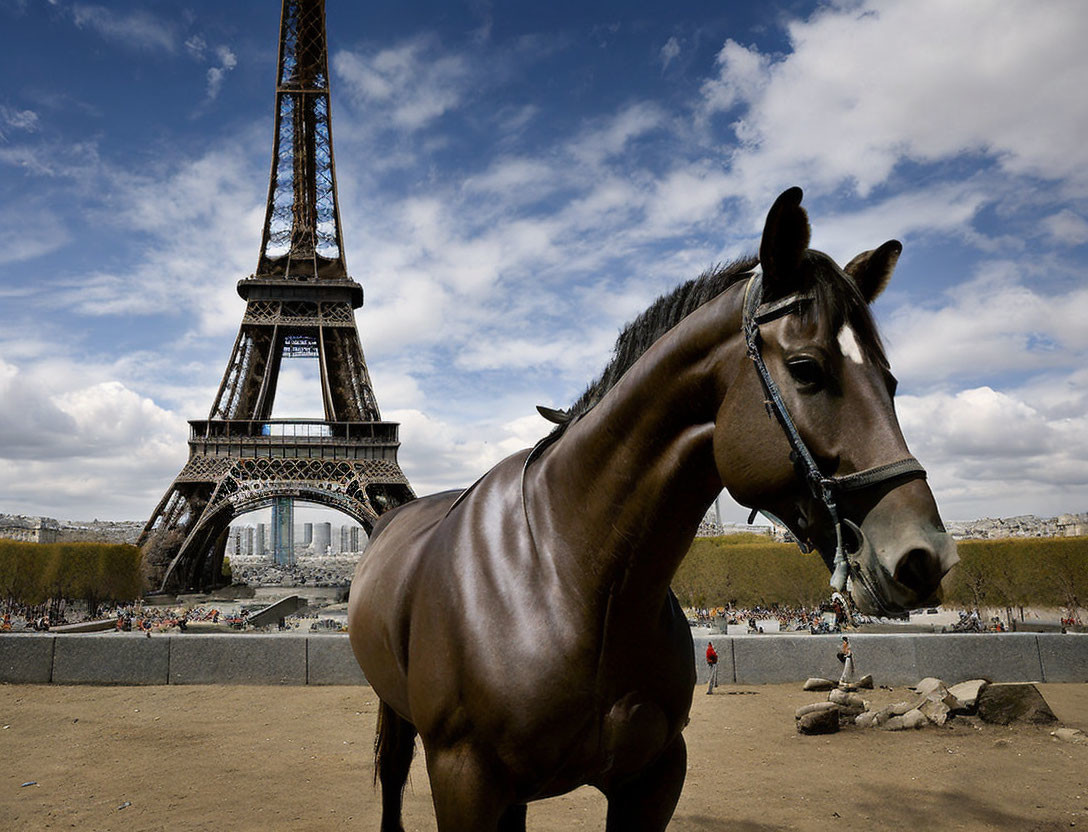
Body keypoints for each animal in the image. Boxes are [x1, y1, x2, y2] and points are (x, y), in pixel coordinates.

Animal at [348, 188, 961, 830]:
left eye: (891, 381)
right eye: (806, 368)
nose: (926, 555)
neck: (583, 584)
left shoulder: (655, 774)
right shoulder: (463, 776)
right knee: (392, 776)